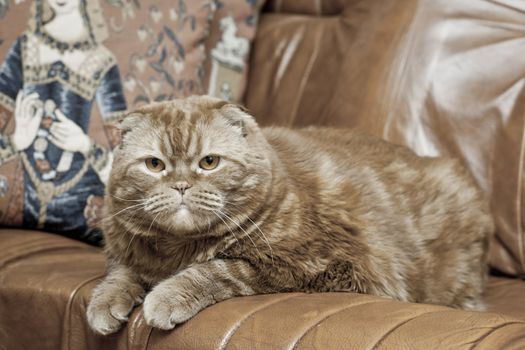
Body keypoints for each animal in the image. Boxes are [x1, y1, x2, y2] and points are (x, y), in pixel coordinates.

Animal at [86, 95, 492, 334]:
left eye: (209, 162)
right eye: (154, 165)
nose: (181, 186)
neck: (177, 250)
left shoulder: (315, 266)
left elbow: (217, 269)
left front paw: (166, 296)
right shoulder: (128, 251)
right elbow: (120, 274)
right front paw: (105, 303)